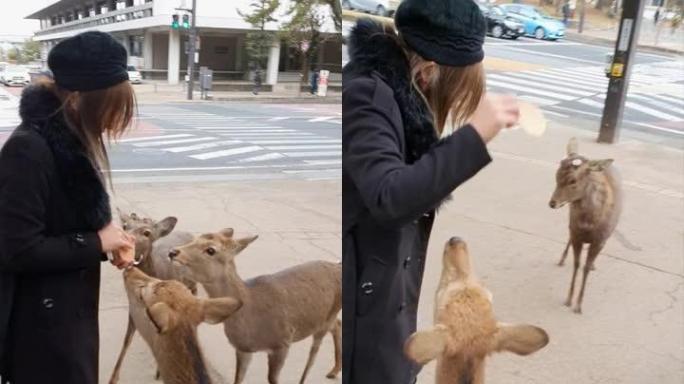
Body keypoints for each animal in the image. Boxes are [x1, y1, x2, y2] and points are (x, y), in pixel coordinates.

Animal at [108, 212, 196, 384]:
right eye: (125, 226)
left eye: (147, 233)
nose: (120, 245)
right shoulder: (134, 309)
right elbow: (126, 341)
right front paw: (113, 378)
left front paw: (160, 372)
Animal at [166, 228, 342, 384]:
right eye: (193, 239)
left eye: (211, 250)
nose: (172, 252)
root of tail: (337, 266)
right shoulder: (242, 349)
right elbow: (238, 379)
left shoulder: (283, 343)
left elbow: (272, 379)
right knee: (337, 325)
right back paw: (333, 371)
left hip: (325, 319)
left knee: (316, 349)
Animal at [548, 136, 624, 314]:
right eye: (556, 175)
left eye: (573, 180)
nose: (552, 203)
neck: (589, 225)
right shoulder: (576, 234)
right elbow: (577, 264)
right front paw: (569, 299)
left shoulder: (600, 240)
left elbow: (586, 267)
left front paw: (579, 305)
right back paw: (562, 259)